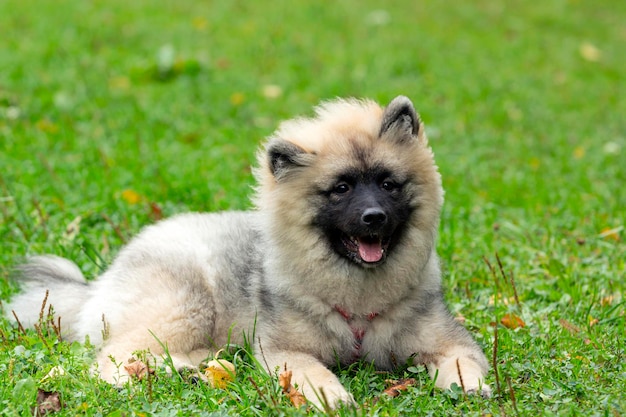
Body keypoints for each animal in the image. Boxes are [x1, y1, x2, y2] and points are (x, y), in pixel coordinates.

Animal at [7, 96, 490, 408]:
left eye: (388, 184)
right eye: (341, 189)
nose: (374, 217)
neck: (358, 298)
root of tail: (95, 286)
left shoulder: (447, 340)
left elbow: (463, 361)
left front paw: (468, 386)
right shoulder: (284, 351)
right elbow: (314, 372)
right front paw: (331, 395)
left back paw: (189, 369)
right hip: (188, 304)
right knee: (111, 360)